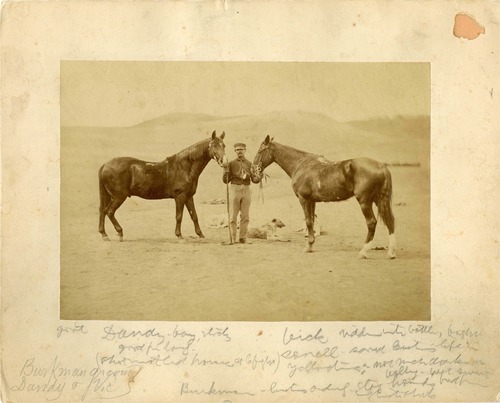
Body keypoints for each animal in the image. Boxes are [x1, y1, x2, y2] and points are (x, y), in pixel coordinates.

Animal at [97, 131, 227, 241]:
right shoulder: (180, 197)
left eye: (224, 145)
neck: (184, 167)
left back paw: (104, 235)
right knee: (109, 212)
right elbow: (179, 216)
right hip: (119, 197)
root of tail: (105, 165)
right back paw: (119, 233)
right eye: (214, 146)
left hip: (109, 196)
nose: (224, 161)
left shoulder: (189, 197)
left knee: (103, 211)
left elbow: (194, 215)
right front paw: (179, 236)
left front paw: (200, 234)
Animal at [252, 134, 396, 258]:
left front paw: (308, 247)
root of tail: (382, 167)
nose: (253, 175)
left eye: (259, 151)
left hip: (365, 202)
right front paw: (311, 245)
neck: (301, 164)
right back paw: (391, 253)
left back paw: (363, 252)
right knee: (390, 222)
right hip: (379, 200)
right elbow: (311, 221)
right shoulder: (312, 201)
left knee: (371, 223)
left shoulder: (304, 199)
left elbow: (309, 222)